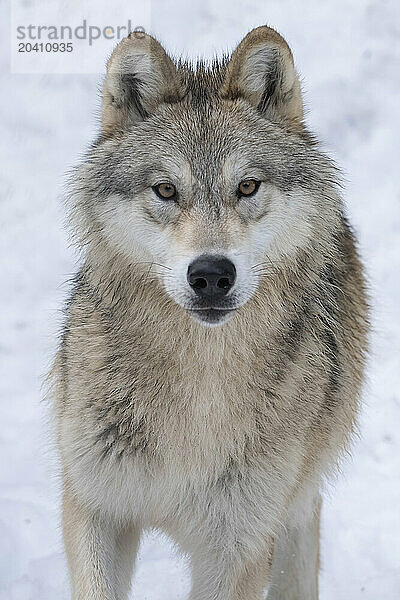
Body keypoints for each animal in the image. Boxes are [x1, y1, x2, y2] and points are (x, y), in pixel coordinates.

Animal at [50, 24, 368, 600]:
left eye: (246, 186)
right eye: (165, 190)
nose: (212, 274)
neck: (197, 381)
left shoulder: (239, 545)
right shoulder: (95, 506)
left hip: (293, 508)